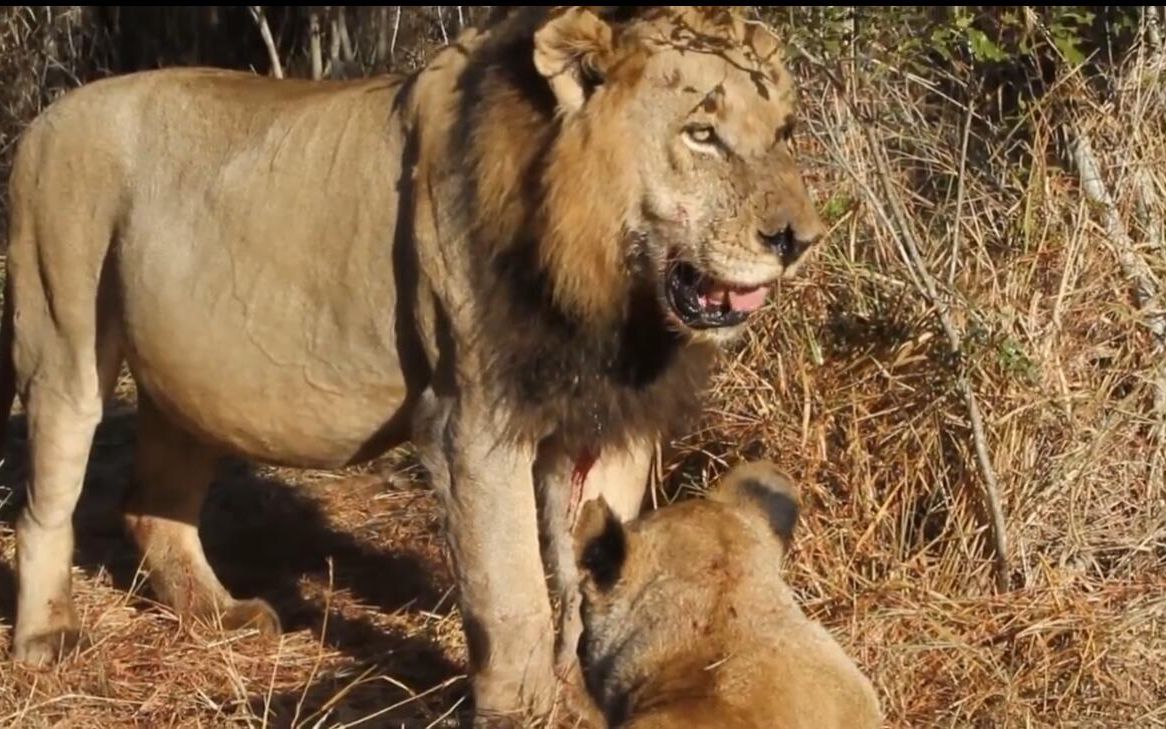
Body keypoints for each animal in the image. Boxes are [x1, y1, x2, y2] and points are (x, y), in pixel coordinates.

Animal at [0, 4, 825, 723]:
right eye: (702, 133)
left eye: (782, 133)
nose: (800, 239)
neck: (604, 288)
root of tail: (47, 114)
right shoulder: (473, 421)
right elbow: (514, 590)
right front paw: (524, 710)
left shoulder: (609, 423)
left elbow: (597, 568)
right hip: (61, 332)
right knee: (46, 504)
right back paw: (46, 637)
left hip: (192, 380)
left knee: (152, 499)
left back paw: (220, 613)